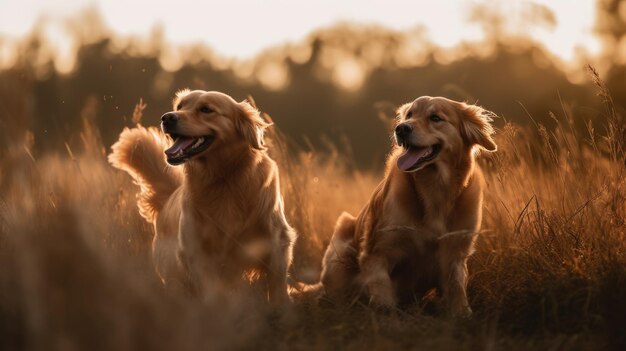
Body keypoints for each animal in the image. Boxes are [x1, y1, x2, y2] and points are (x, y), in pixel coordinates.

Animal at [108, 91, 296, 308]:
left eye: (206, 109)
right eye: (180, 106)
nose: (167, 118)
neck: (224, 179)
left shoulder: (277, 243)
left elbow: (277, 286)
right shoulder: (197, 253)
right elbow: (212, 293)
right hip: (174, 273)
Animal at [306, 97, 492, 320]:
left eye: (435, 118)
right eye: (410, 114)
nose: (401, 128)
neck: (435, 190)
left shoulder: (456, 251)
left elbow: (456, 287)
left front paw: (461, 313)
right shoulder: (376, 251)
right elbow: (382, 290)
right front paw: (387, 316)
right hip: (341, 242)